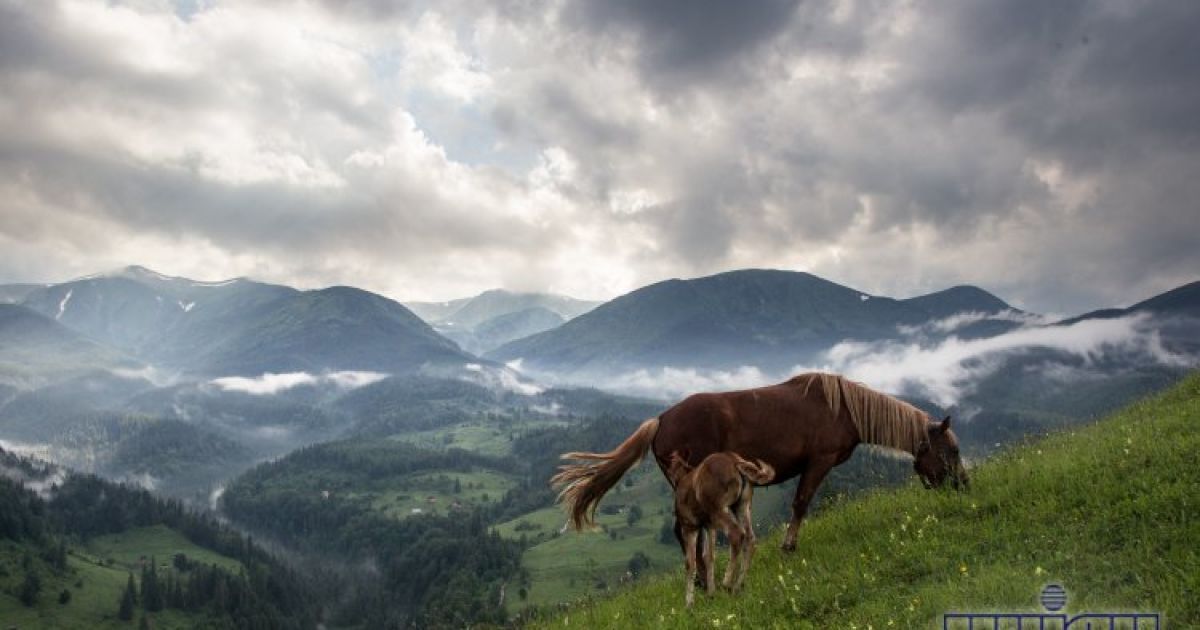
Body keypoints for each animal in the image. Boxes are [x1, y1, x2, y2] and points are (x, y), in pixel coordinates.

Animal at [556, 372, 969, 552]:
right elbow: (800, 503)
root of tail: (661, 419)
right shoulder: (817, 464)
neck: (844, 409)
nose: (964, 485)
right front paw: (789, 545)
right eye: (952, 450)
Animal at [672, 446, 772, 604]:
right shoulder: (709, 525)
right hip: (741, 506)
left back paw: (727, 583)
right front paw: (711, 594)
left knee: (736, 534)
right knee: (750, 539)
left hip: (719, 511)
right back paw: (738, 586)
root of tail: (735, 461)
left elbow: (690, 562)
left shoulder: (689, 527)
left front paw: (689, 602)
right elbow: (709, 555)